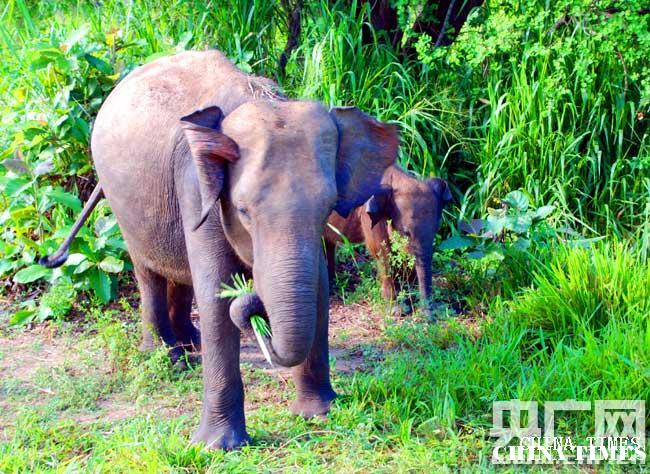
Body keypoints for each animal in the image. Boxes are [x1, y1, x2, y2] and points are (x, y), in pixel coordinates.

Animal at [39, 50, 398, 450]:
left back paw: (189, 342)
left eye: (329, 207)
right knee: (148, 270)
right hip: (124, 208)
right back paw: (167, 357)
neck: (261, 100)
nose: (254, 301)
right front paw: (216, 446)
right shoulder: (196, 188)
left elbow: (318, 285)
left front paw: (320, 413)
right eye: (243, 211)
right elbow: (215, 294)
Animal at [323, 164, 452, 316]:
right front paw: (397, 310)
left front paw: (408, 302)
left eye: (436, 229)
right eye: (406, 233)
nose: (430, 317)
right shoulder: (368, 216)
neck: (399, 179)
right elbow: (382, 252)